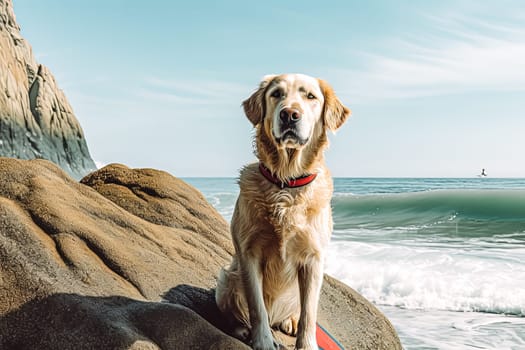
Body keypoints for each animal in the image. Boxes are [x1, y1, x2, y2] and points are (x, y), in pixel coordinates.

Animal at [215, 74, 350, 350]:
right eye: (276, 94)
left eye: (310, 96)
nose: (289, 114)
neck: (286, 183)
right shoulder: (248, 254)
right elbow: (257, 307)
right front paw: (263, 341)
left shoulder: (313, 260)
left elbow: (309, 314)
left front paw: (306, 344)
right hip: (227, 279)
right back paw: (241, 329)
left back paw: (290, 321)